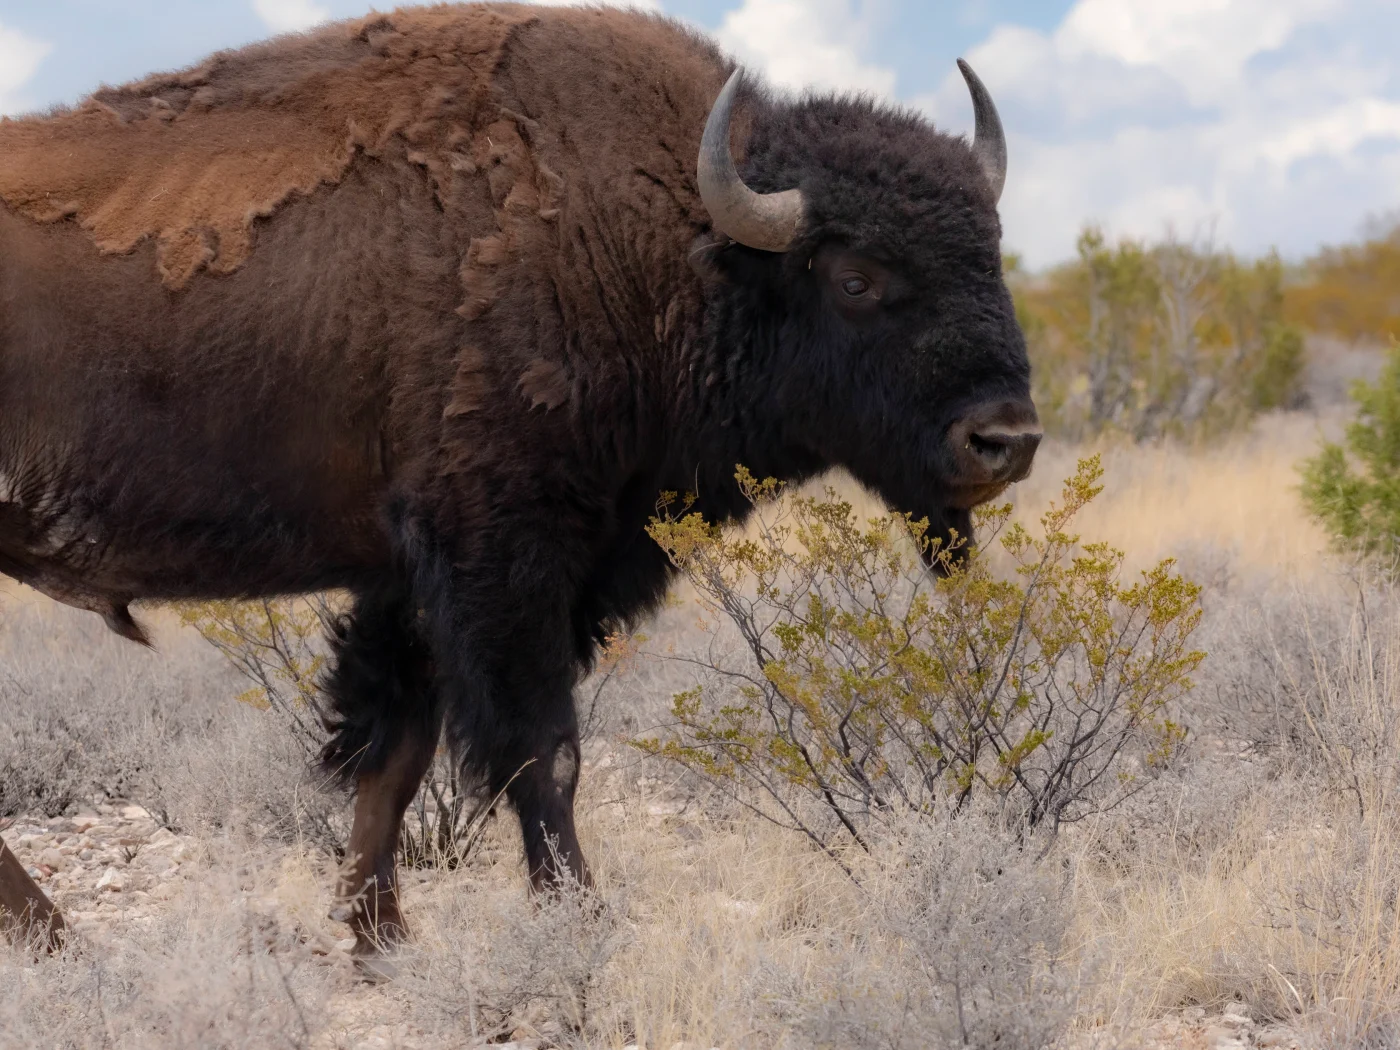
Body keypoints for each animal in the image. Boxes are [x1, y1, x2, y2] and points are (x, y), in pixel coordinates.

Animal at [0, 3, 1040, 958]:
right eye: (856, 278)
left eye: (989, 255)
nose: (1006, 438)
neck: (658, 243)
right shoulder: (504, 562)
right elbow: (547, 752)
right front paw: (577, 920)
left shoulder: (419, 583)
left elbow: (398, 753)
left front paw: (379, 937)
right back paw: (56, 939)